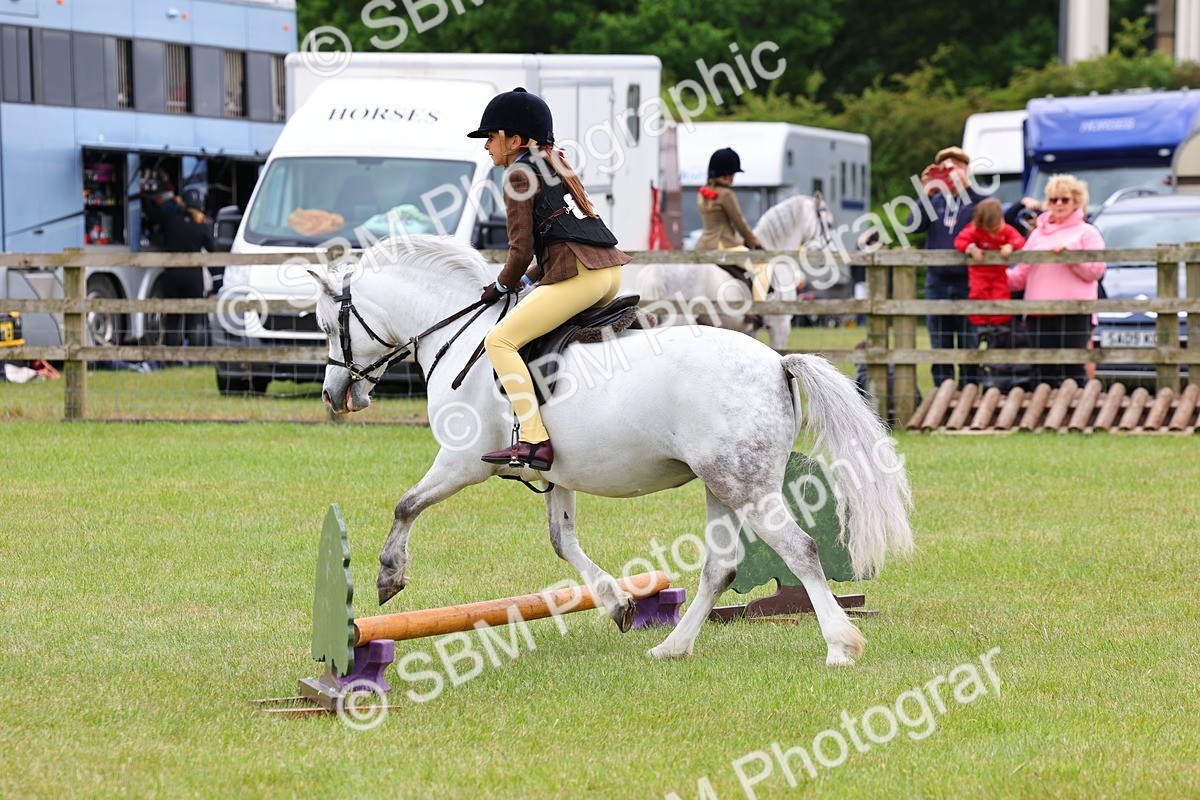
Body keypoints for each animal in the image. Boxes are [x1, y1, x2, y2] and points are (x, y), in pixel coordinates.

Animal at [309, 235, 912, 665]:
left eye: (327, 327)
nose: (335, 396)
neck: (460, 338)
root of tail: (776, 361)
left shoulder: (460, 463)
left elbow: (406, 505)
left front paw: (389, 576)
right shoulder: (555, 474)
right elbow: (563, 543)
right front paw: (618, 602)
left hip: (746, 485)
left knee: (800, 550)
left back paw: (840, 647)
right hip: (721, 483)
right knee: (720, 567)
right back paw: (672, 647)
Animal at [634, 193, 837, 351]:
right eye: (829, 224)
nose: (833, 251)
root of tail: (656, 270)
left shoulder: (750, 329)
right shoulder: (780, 326)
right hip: (678, 319)